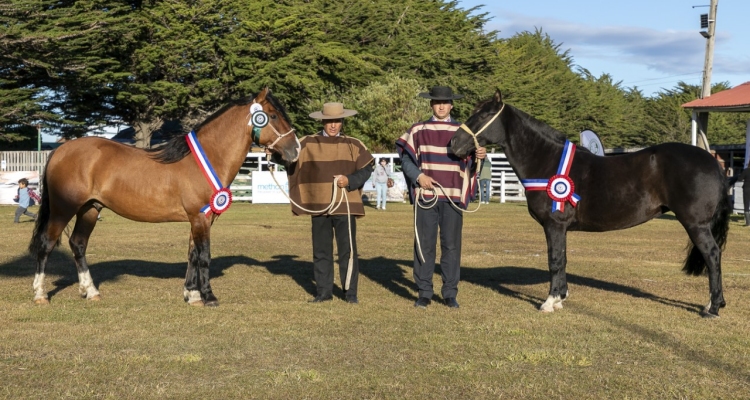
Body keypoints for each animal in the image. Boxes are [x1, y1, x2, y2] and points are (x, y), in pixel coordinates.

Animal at [29, 87, 300, 306]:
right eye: (273, 116)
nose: (295, 149)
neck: (205, 159)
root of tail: (60, 150)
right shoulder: (200, 217)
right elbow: (204, 256)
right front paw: (209, 296)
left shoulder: (200, 218)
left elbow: (192, 254)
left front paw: (192, 295)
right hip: (63, 209)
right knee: (46, 243)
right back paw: (40, 294)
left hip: (90, 209)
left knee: (78, 244)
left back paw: (91, 291)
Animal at [450, 90, 732, 318]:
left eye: (484, 115)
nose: (453, 144)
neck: (547, 160)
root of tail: (712, 162)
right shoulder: (560, 228)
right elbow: (562, 258)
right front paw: (561, 297)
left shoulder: (554, 224)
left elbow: (554, 259)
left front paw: (549, 302)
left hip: (696, 224)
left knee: (712, 255)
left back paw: (713, 307)